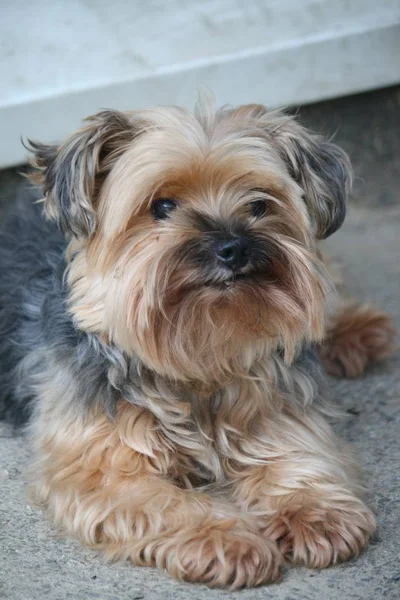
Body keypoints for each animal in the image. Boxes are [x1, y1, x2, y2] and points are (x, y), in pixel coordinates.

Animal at [0, 101, 394, 588]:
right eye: (162, 206)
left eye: (259, 204)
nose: (232, 247)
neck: (199, 352)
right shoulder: (100, 464)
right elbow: (165, 504)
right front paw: (227, 539)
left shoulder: (274, 406)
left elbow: (296, 452)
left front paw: (315, 513)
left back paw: (358, 332)